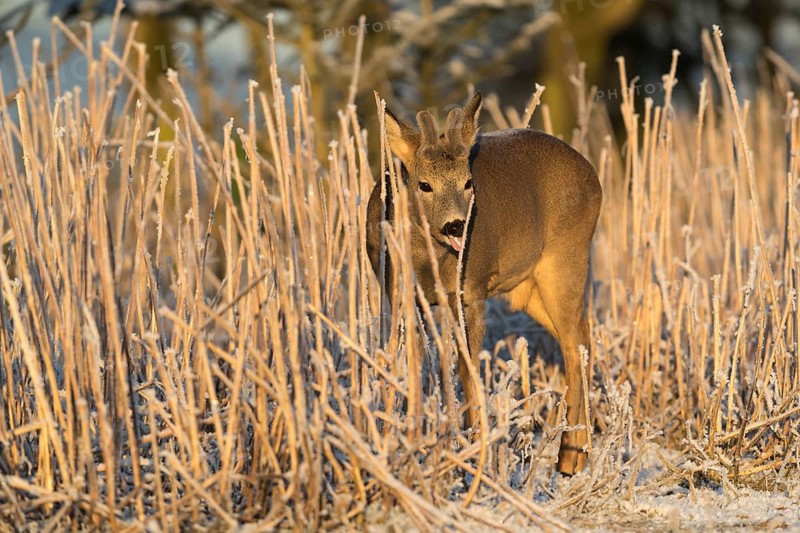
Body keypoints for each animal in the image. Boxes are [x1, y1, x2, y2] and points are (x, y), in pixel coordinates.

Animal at [366, 92, 602, 475]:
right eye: (424, 184)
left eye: (467, 182)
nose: (456, 225)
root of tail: (592, 174)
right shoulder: (399, 295)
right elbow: (409, 364)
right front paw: (402, 444)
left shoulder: (472, 292)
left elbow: (466, 367)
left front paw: (474, 453)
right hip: (528, 289)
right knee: (585, 336)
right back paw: (576, 451)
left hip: (566, 260)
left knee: (573, 343)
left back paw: (569, 456)